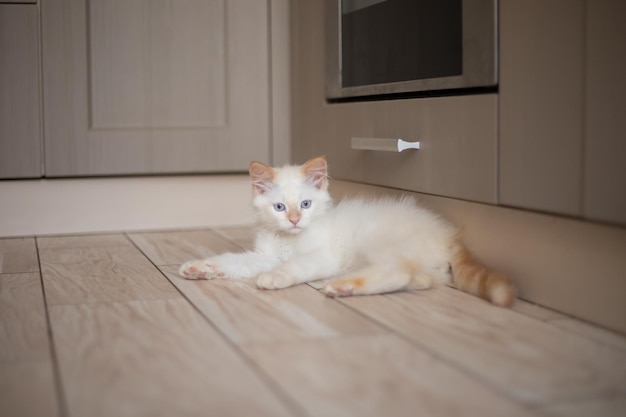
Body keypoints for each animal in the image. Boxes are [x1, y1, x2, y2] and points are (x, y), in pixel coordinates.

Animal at [178, 156, 516, 306]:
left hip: (377, 242)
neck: (290, 239)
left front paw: (274, 277)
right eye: (279, 207)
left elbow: (295, 265)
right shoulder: (264, 255)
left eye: (306, 204)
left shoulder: (323, 256)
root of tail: (448, 234)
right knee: (418, 279)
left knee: (400, 272)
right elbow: (234, 261)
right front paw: (201, 267)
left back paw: (342, 286)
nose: (295, 220)